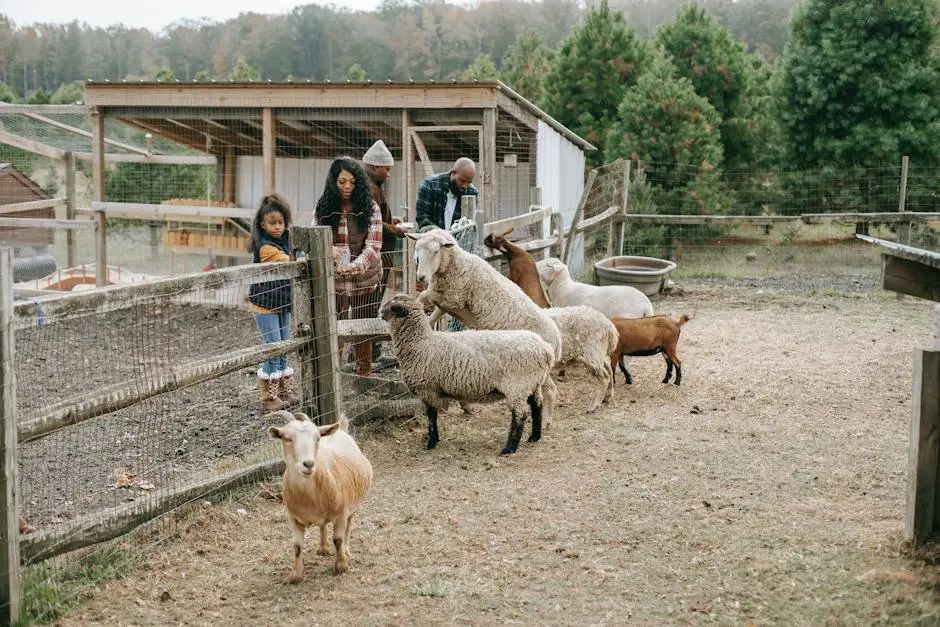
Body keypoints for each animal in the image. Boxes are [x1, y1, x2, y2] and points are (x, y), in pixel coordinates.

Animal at [266, 410, 372, 580]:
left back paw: (346, 550)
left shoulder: (341, 513)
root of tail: (341, 429)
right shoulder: (293, 517)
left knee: (349, 526)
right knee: (323, 525)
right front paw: (296, 575)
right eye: (287, 438)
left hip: (353, 505)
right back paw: (322, 548)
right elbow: (297, 546)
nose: (308, 464)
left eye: (317, 438)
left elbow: (338, 539)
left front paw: (341, 566)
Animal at [382, 294, 560, 456]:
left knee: (520, 414)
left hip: (517, 385)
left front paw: (431, 442)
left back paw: (509, 448)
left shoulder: (428, 389)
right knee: (537, 406)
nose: (380, 312)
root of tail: (545, 350)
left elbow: (432, 416)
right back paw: (534, 437)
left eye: (391, 305)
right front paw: (435, 440)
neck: (420, 342)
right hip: (532, 383)